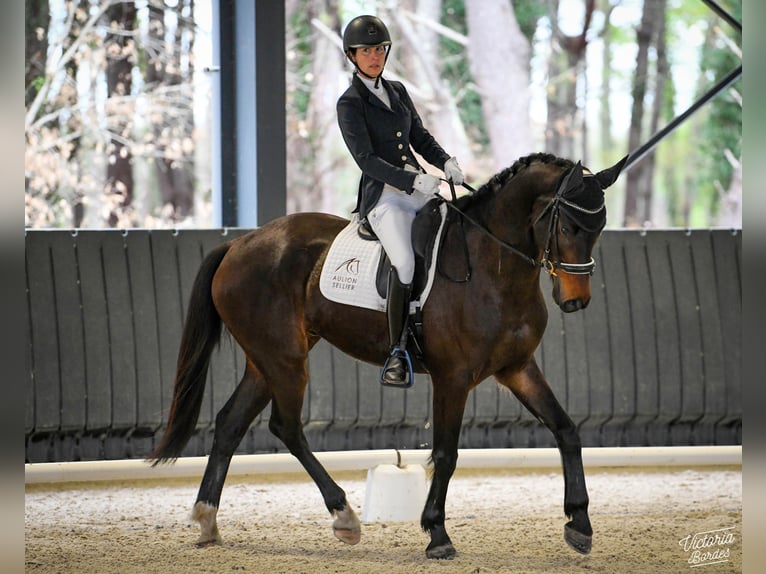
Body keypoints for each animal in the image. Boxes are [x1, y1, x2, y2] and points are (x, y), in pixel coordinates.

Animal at [148, 152, 628, 560]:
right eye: (566, 227)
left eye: (599, 228)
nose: (575, 300)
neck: (492, 267)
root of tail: (240, 244)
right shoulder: (453, 378)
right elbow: (446, 454)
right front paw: (437, 534)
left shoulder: (517, 369)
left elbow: (566, 430)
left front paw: (580, 524)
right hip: (284, 359)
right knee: (286, 427)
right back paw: (343, 516)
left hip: (266, 359)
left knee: (231, 422)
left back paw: (207, 520)